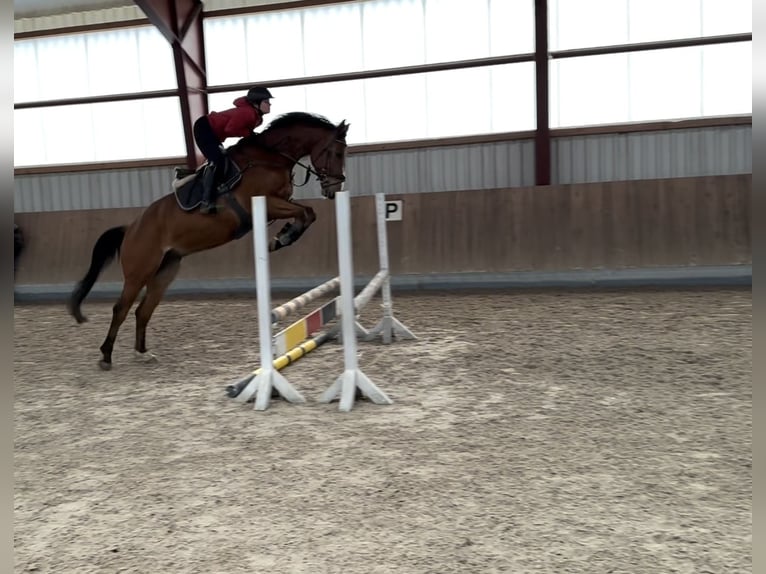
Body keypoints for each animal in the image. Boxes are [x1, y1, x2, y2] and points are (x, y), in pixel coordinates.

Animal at [67, 111, 350, 371]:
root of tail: (131, 228)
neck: (270, 158)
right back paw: (106, 356)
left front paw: (284, 235)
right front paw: (282, 238)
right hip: (140, 271)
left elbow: (306, 213)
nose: (334, 189)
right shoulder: (266, 202)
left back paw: (142, 353)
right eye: (337, 153)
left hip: (165, 271)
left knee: (143, 310)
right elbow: (306, 212)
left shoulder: (278, 204)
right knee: (121, 309)